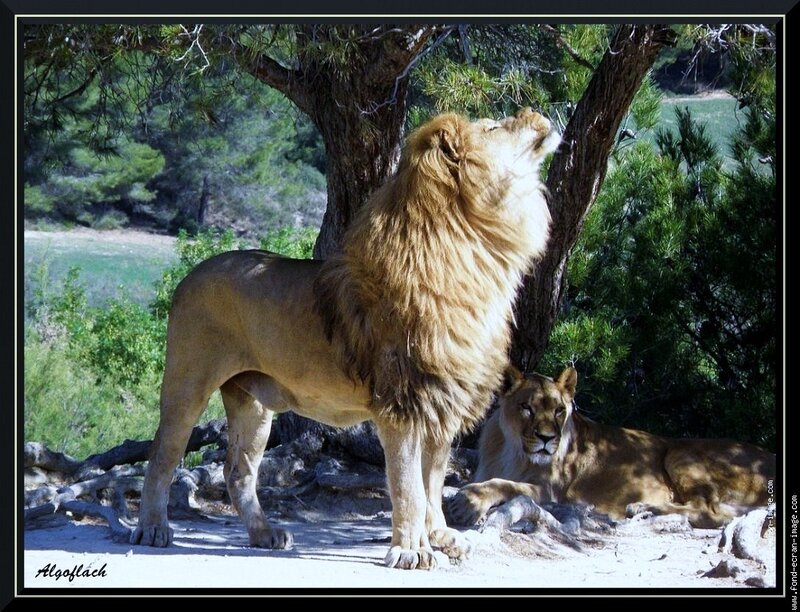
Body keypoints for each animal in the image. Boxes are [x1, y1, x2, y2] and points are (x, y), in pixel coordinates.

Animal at [130, 108, 560, 569]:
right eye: (494, 127)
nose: (534, 113)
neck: (478, 252)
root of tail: (188, 274)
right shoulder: (403, 404)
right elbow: (409, 487)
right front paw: (411, 549)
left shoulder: (440, 402)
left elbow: (432, 483)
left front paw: (440, 536)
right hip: (187, 384)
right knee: (162, 457)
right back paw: (153, 528)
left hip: (253, 403)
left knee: (238, 471)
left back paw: (264, 533)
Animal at [448, 367, 776, 529]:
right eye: (527, 408)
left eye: (559, 411)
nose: (546, 438)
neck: (512, 448)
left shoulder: (549, 490)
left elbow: (505, 484)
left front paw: (470, 502)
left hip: (681, 452)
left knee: (711, 512)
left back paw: (642, 507)